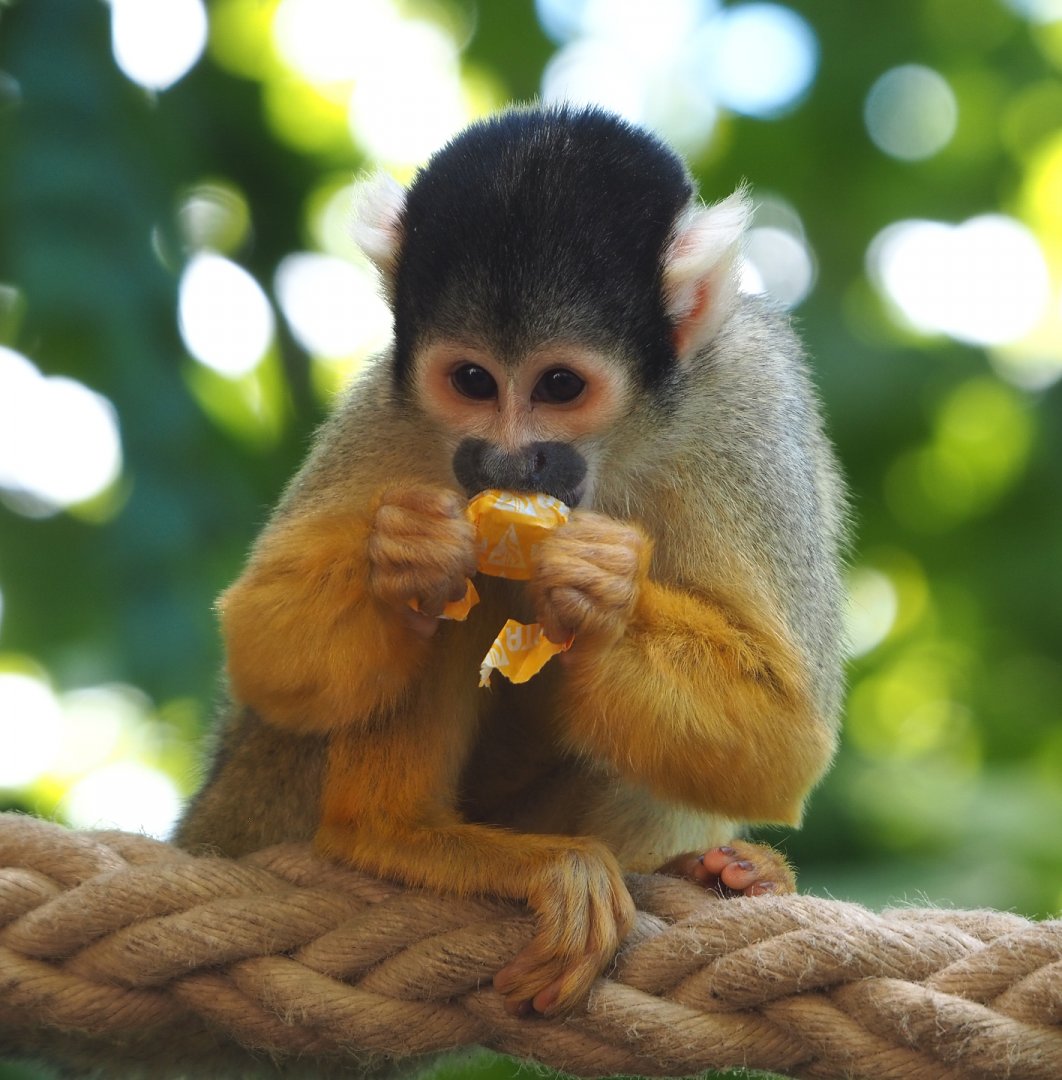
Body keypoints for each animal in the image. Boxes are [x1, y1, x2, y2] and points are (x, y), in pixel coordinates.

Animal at [176, 104, 847, 1019]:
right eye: (472, 380)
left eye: (559, 386)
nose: (507, 462)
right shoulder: (396, 407)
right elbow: (266, 646)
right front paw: (402, 559)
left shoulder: (748, 400)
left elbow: (788, 739)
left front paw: (605, 592)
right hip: (264, 779)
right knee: (452, 607)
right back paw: (394, 834)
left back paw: (721, 873)